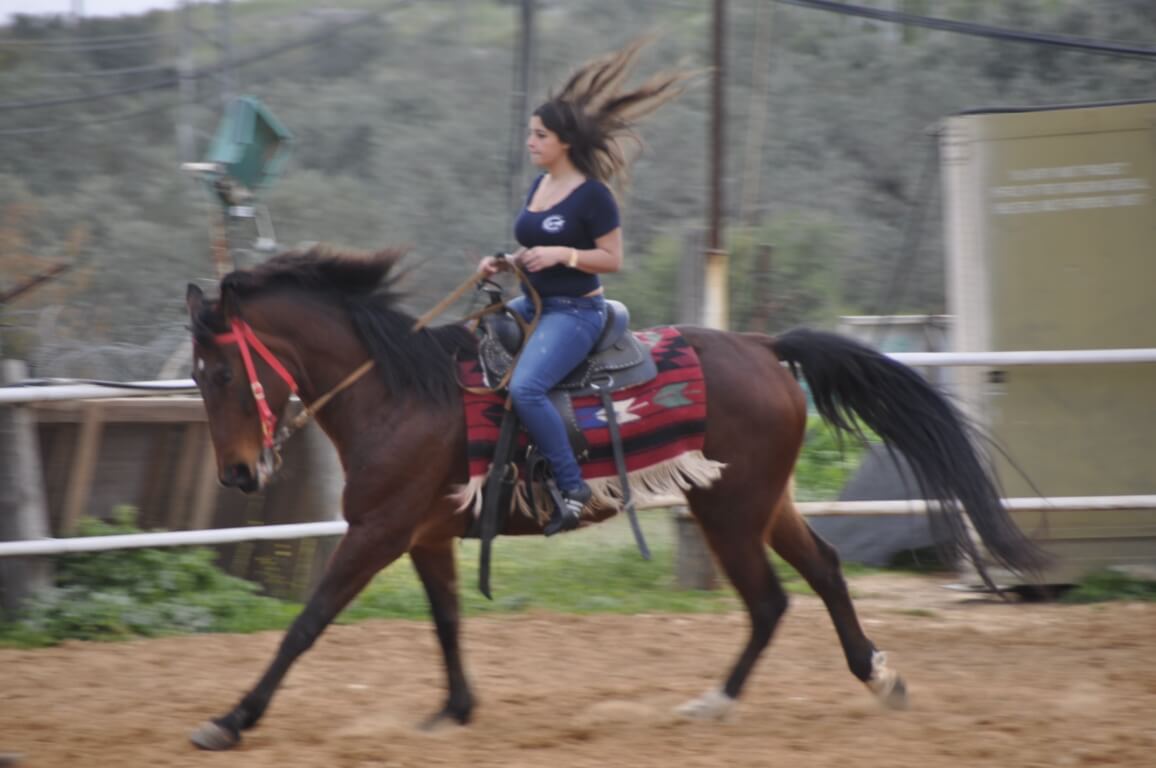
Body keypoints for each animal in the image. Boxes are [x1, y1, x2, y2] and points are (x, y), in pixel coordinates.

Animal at [182, 246, 1040, 749]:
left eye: (220, 372)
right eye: (196, 374)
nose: (239, 476)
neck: (399, 393)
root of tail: (765, 347)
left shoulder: (380, 529)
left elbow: (308, 623)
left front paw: (230, 719)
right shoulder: (424, 534)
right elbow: (447, 623)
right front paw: (454, 710)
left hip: (731, 512)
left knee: (770, 599)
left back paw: (717, 704)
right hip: (759, 504)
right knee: (823, 571)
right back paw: (877, 677)